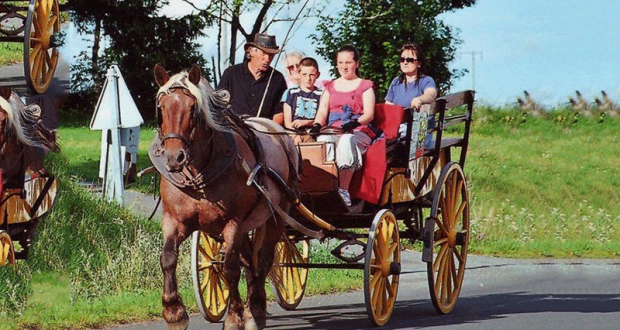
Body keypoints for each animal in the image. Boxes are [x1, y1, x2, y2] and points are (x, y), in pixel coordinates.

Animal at [153, 65, 300, 330]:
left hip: (276, 217)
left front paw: (234, 317)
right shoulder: (173, 220)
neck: (201, 172)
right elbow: (168, 258)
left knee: (263, 260)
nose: (174, 158)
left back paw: (255, 311)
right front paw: (174, 311)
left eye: (193, 108)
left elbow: (230, 269)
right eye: (161, 108)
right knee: (250, 261)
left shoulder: (233, 223)